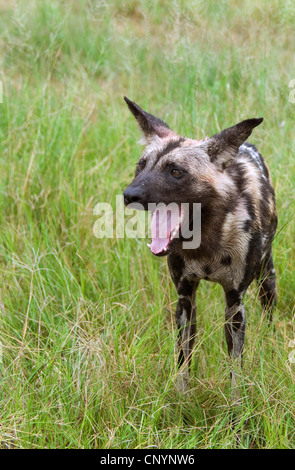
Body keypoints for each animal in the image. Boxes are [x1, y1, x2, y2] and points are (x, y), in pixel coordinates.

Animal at [123, 96, 278, 392]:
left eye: (175, 171)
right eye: (141, 165)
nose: (129, 195)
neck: (205, 243)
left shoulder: (234, 304)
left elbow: (235, 373)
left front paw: (236, 405)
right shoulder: (185, 298)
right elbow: (183, 363)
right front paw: (181, 400)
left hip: (267, 279)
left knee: (269, 317)